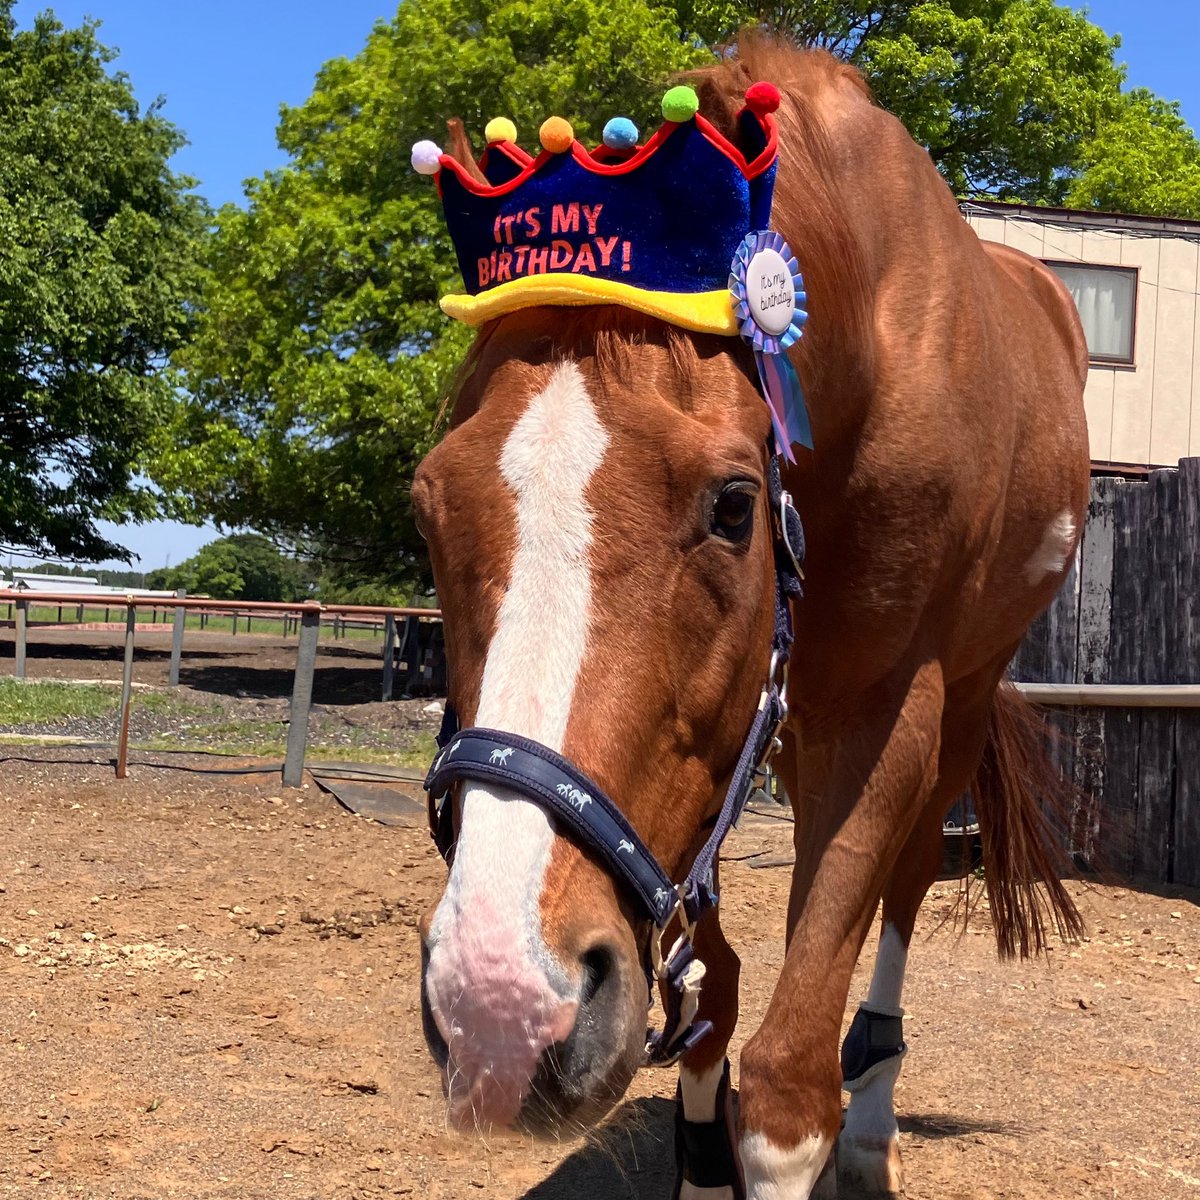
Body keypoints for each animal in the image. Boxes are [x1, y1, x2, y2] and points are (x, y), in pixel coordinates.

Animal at [413, 39, 1089, 1200]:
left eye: (734, 505)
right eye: (425, 506)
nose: (497, 1000)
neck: (865, 330)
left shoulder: (880, 716)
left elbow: (786, 1092)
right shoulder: (723, 744)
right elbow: (713, 998)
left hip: (959, 698)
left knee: (906, 886)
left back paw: (873, 1125)